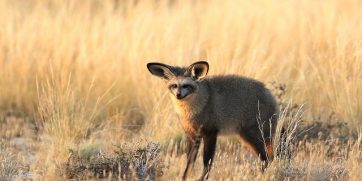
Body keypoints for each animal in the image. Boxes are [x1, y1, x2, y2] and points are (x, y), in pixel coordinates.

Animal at [147, 61, 286, 181]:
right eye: (174, 86)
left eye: (186, 86)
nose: (178, 95)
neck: (193, 111)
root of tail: (269, 93)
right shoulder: (192, 136)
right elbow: (189, 162)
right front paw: (184, 177)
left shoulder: (210, 133)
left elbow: (207, 162)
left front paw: (202, 179)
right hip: (247, 138)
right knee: (269, 158)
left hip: (252, 136)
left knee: (266, 159)